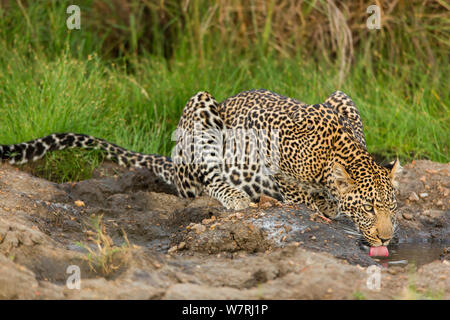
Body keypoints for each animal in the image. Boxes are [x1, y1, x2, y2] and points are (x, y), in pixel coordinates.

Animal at [0, 89, 400, 248]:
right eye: (367, 209)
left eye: (393, 208)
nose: (386, 238)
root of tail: (174, 165)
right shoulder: (268, 146)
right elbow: (297, 192)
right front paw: (321, 204)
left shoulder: (342, 99)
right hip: (200, 108)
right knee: (206, 178)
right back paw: (237, 197)